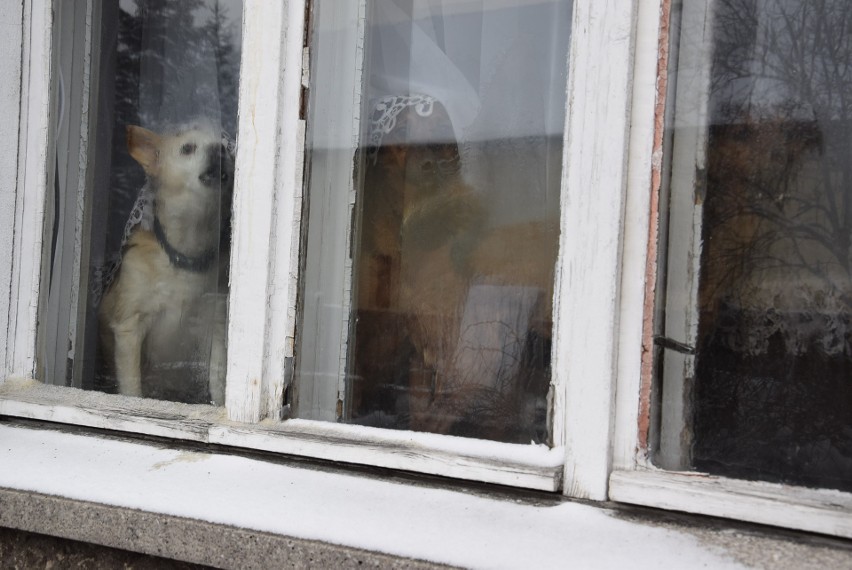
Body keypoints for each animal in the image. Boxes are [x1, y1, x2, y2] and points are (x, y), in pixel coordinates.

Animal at [99, 122, 233, 402]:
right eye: (187, 148)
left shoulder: (215, 326)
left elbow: (217, 376)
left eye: (226, 147)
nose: (219, 150)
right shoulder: (129, 328)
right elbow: (132, 387)